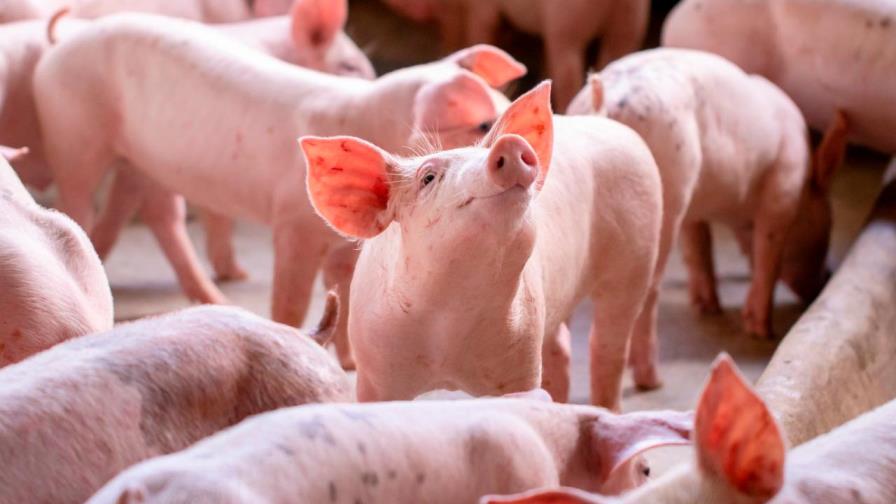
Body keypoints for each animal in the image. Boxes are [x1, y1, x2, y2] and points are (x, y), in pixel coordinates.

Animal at [33, 12, 525, 364]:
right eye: (482, 124)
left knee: (159, 215)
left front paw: (350, 363)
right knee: (80, 200)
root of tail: (61, 45)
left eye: (503, 108)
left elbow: (347, 292)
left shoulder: (346, 242)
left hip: (145, 163)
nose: (521, 147)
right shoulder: (293, 224)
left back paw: (217, 293)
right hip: (72, 131)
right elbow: (291, 297)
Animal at [303, 81, 663, 409]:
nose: (510, 143)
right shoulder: (374, 372)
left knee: (608, 346)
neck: (447, 325)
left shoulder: (521, 356)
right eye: (427, 178)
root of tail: (603, 119)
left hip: (638, 253)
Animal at [567, 49, 848, 350]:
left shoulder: (695, 209)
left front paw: (707, 307)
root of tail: (605, 102)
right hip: (669, 189)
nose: (827, 277)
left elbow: (698, 246)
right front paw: (761, 331)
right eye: (827, 226)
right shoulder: (783, 189)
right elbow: (767, 254)